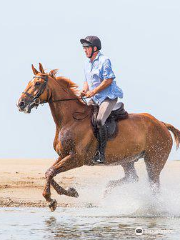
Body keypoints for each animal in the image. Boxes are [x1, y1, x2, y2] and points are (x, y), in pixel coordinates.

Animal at [16, 62, 180, 211]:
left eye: (37, 83)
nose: (21, 104)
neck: (71, 120)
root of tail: (162, 124)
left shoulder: (77, 158)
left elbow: (50, 172)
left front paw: (51, 200)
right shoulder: (63, 155)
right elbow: (49, 172)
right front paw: (69, 193)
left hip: (154, 162)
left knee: (154, 186)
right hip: (127, 159)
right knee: (133, 178)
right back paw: (107, 192)